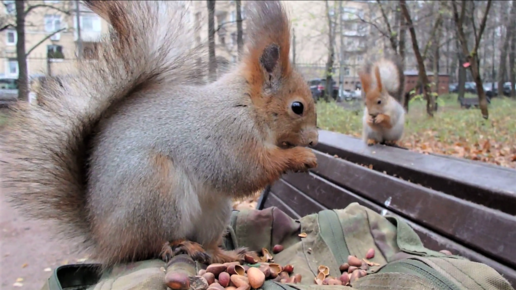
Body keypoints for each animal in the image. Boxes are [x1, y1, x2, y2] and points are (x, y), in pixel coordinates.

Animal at [0, 0, 316, 270]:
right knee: (147, 245)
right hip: (155, 188)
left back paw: (224, 254)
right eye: (297, 107)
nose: (314, 140)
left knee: (206, 244)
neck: (248, 106)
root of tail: (103, 238)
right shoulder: (226, 135)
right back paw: (179, 245)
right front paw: (300, 156)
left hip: (213, 210)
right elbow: (244, 171)